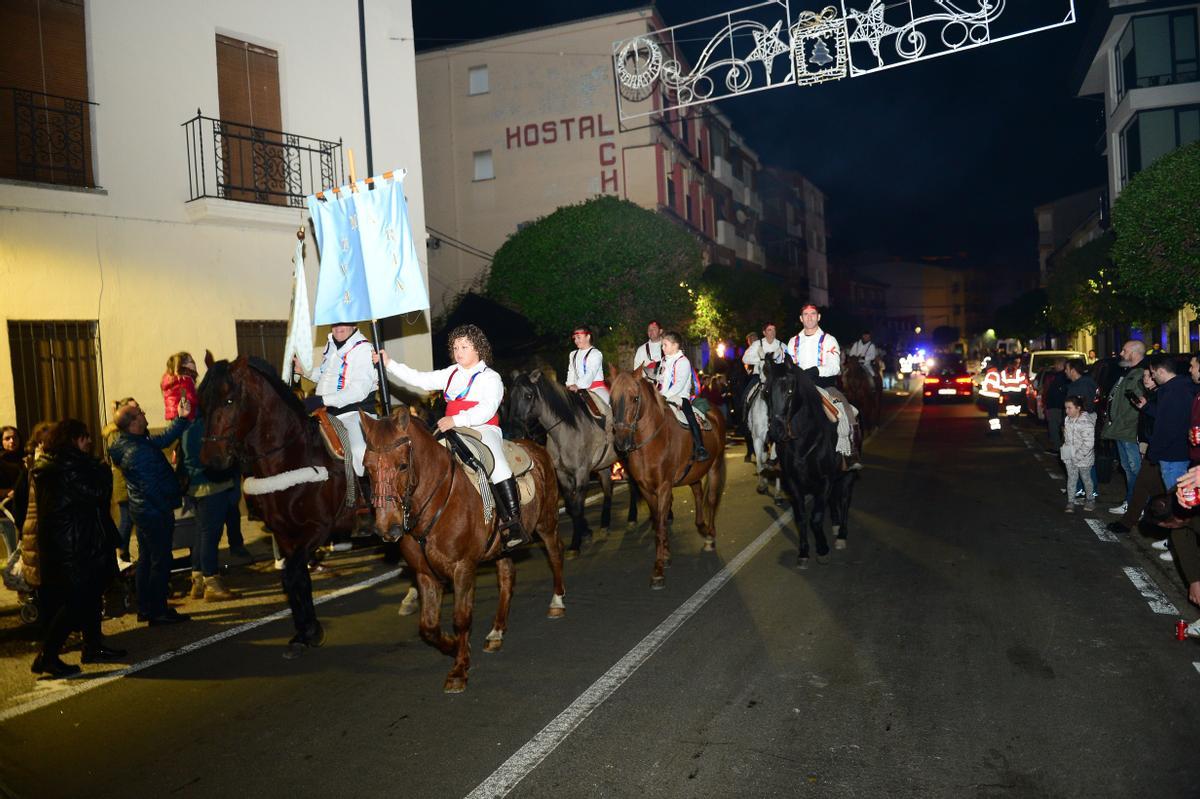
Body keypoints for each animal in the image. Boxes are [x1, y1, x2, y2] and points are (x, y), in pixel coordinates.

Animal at [357, 405, 564, 691]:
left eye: (402, 465)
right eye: (367, 468)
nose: (387, 529)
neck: (433, 501)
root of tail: (534, 445)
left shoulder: (463, 568)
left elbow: (461, 618)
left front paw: (459, 669)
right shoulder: (425, 573)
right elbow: (428, 626)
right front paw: (454, 647)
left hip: (546, 522)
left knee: (555, 555)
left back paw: (557, 603)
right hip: (501, 547)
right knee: (507, 577)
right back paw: (496, 632)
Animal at [504, 369, 638, 551]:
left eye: (528, 395)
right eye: (510, 396)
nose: (514, 433)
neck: (565, 430)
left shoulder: (581, 473)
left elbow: (578, 506)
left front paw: (576, 541)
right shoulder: (562, 474)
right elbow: (571, 504)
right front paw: (585, 532)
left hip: (625, 457)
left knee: (632, 484)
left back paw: (632, 518)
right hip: (603, 465)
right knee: (607, 488)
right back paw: (604, 524)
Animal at [609, 369, 720, 587]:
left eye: (635, 398)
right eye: (611, 400)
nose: (621, 442)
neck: (651, 442)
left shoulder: (664, 487)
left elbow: (660, 524)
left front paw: (658, 569)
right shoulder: (646, 489)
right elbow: (657, 523)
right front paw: (666, 556)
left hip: (714, 466)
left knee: (711, 500)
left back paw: (710, 536)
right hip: (693, 472)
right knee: (697, 492)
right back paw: (701, 526)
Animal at [763, 355, 859, 566]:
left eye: (790, 391)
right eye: (765, 393)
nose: (776, 431)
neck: (803, 440)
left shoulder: (824, 480)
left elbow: (815, 518)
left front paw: (822, 550)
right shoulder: (793, 483)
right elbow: (801, 518)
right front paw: (804, 552)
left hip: (848, 475)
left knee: (845, 500)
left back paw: (841, 534)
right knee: (834, 500)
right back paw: (835, 524)